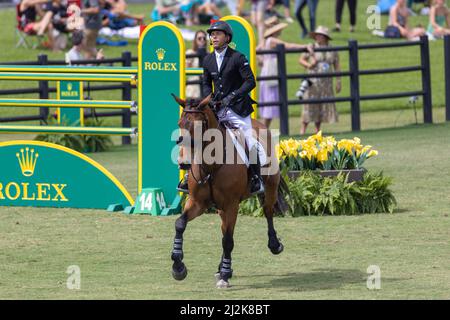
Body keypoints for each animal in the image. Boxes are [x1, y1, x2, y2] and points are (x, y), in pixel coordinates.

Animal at [171, 94, 286, 288]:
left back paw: (274, 245)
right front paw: (178, 266)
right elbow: (180, 223)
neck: (211, 165)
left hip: (269, 187)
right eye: (179, 123)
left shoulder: (232, 204)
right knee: (224, 229)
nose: (184, 163)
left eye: (199, 125)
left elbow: (228, 240)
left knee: (268, 212)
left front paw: (225, 275)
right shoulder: (197, 203)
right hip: (221, 208)